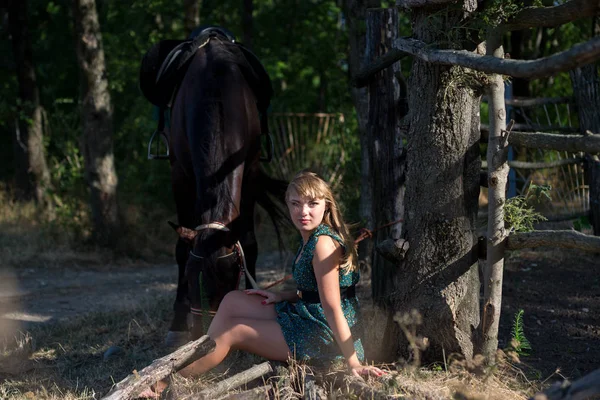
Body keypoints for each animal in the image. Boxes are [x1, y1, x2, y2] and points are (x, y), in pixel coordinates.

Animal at [141, 26, 286, 346]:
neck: (216, 91)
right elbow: (181, 249)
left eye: (226, 279)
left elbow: (249, 242)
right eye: (191, 279)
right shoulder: (180, 176)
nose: (203, 334)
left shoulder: (250, 171)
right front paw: (177, 322)